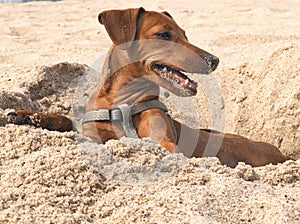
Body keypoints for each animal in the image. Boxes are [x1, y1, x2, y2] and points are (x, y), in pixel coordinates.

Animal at [7, 7, 288, 167]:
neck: (122, 103)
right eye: (164, 35)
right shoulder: (92, 132)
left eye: (185, 35)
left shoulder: (165, 143)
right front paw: (30, 116)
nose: (214, 60)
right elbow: (71, 125)